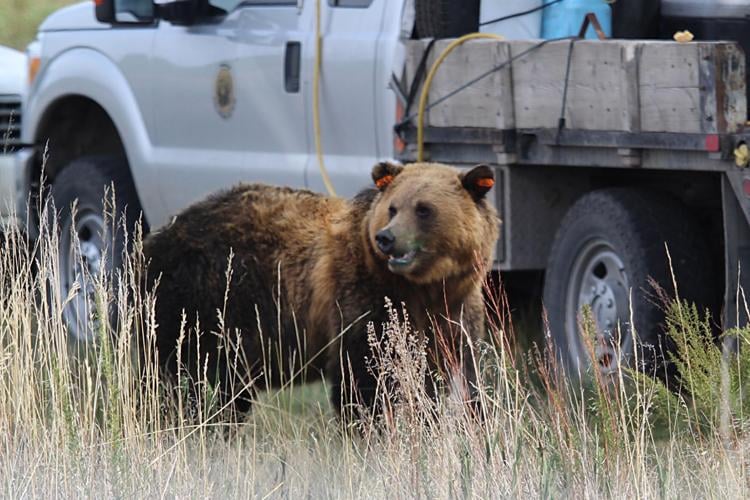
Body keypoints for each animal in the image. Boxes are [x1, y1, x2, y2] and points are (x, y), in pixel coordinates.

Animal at [144, 162, 502, 420]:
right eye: (393, 207)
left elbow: (446, 375)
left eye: (423, 208)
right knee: (195, 379)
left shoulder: (455, 314)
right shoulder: (363, 301)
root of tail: (156, 237)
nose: (386, 238)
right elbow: (366, 377)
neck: (424, 287)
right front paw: (374, 426)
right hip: (207, 302)